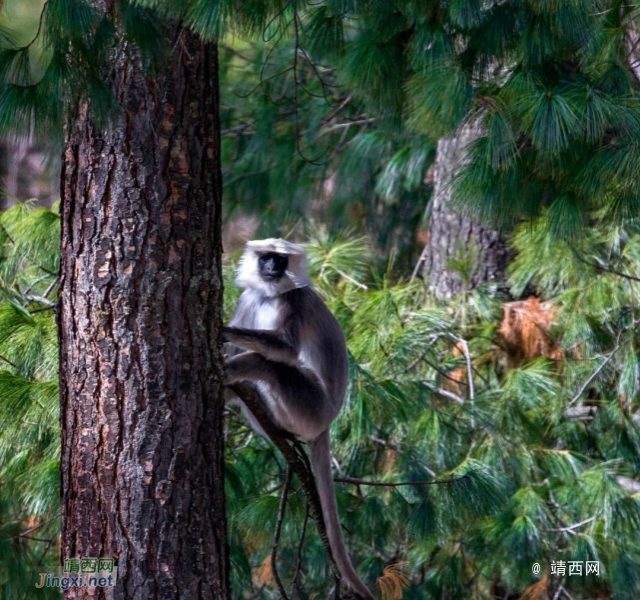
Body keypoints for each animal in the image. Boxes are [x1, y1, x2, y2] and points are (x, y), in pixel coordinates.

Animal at [224, 239, 372, 600]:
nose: (271, 268)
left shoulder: (295, 299)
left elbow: (287, 350)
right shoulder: (249, 298)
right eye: (266, 257)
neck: (270, 295)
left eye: (280, 260)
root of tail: (327, 421)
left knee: (268, 365)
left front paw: (222, 330)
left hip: (308, 405)